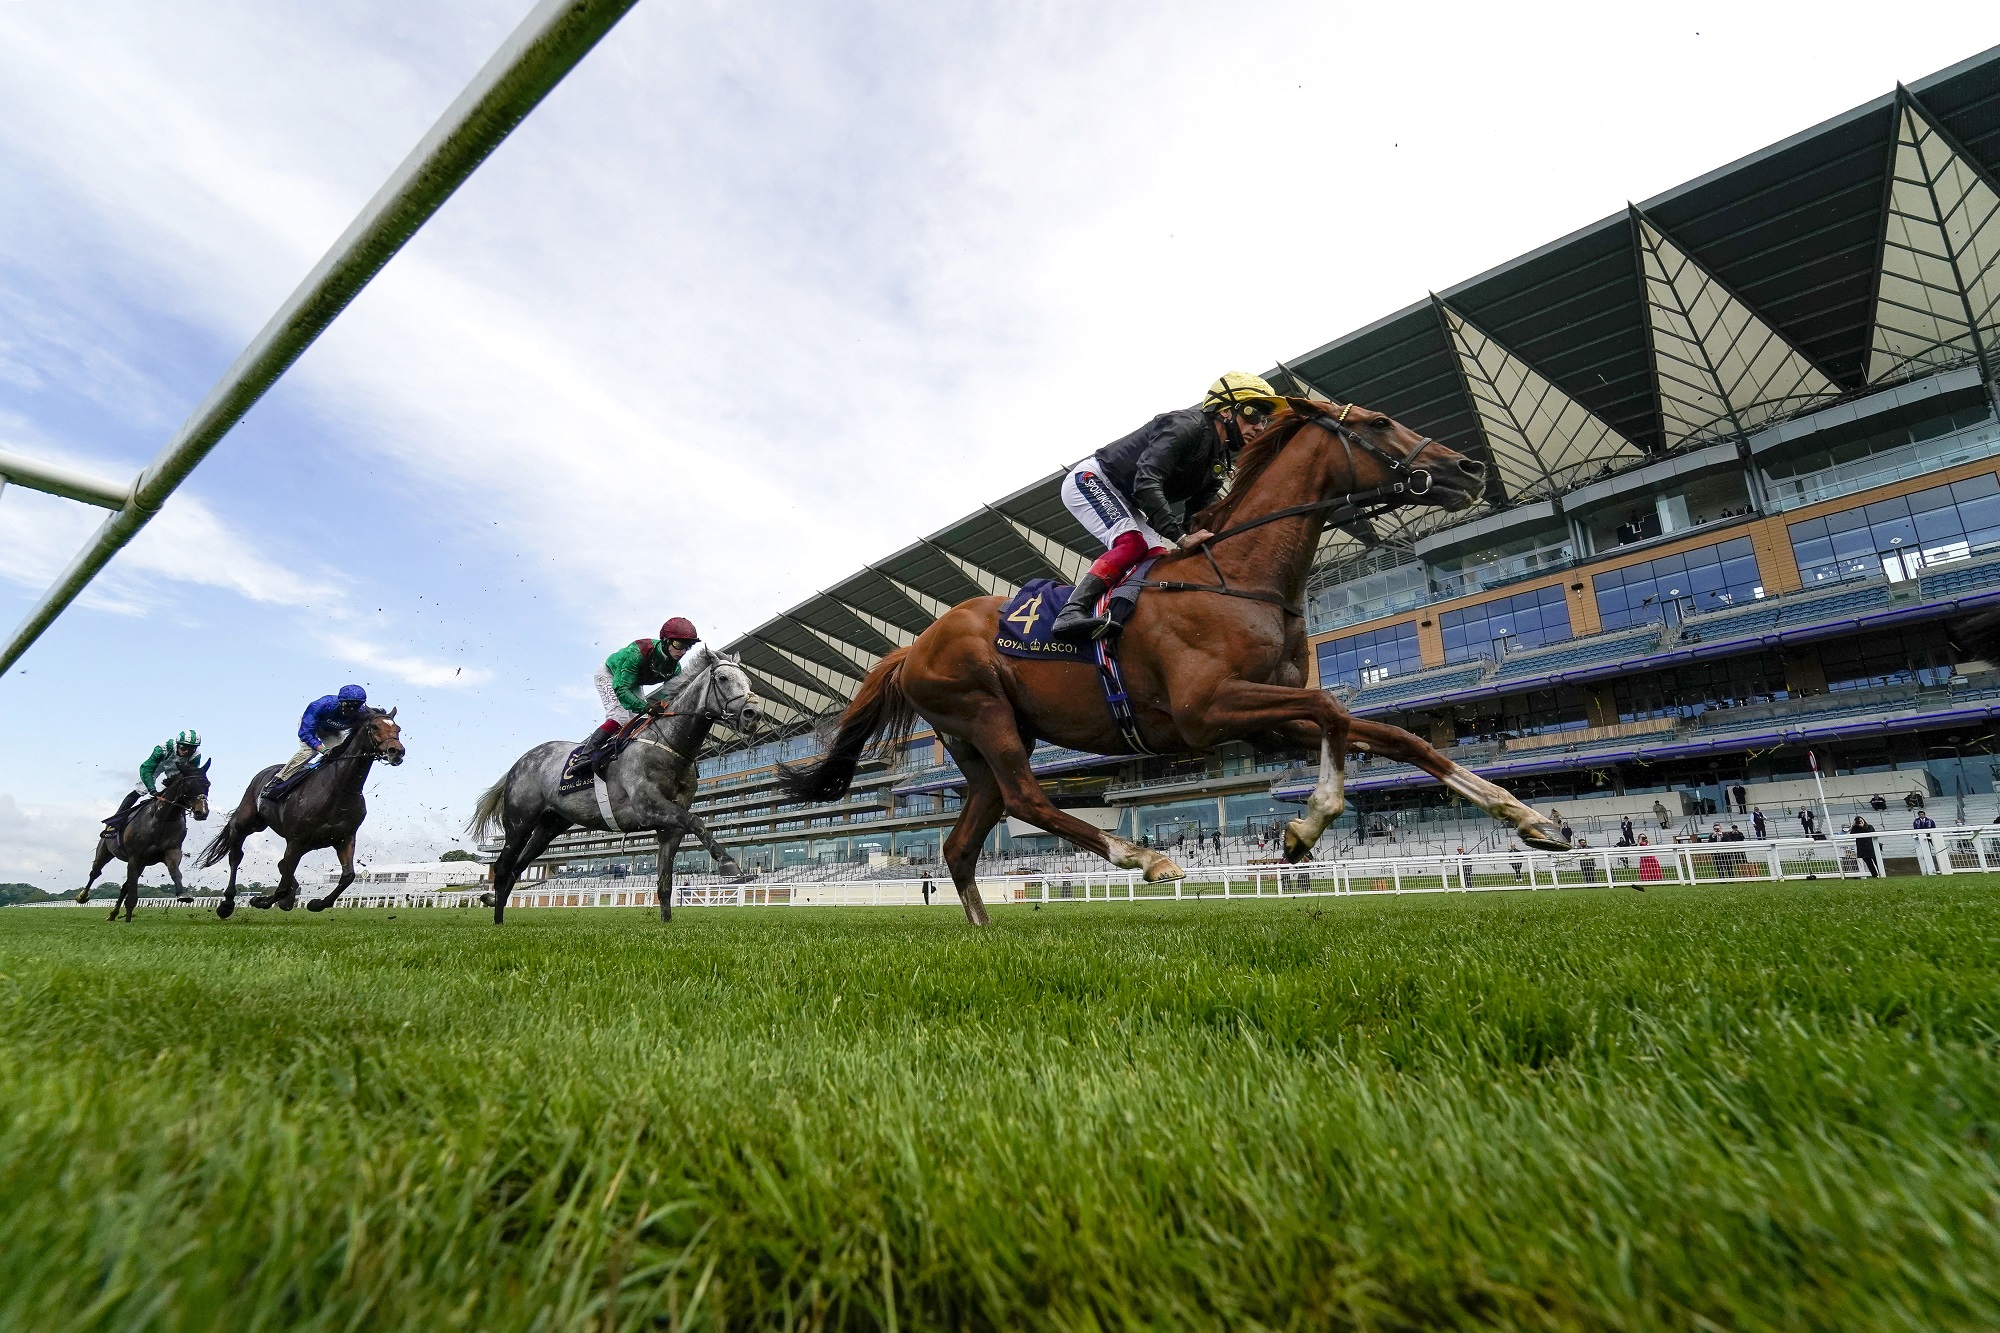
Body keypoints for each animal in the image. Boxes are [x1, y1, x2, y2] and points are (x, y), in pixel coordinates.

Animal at [78, 764, 213, 920]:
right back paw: (82, 897)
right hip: (105, 851)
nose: (202, 812)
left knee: (124, 886)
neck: (161, 819)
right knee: (95, 872)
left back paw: (113, 914)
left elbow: (175, 871)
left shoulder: (171, 851)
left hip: (141, 864)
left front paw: (183, 894)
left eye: (207, 784)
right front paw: (128, 920)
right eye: (188, 786)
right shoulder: (134, 857)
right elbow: (131, 896)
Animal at [197, 704, 404, 912]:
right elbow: (282, 885)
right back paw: (227, 903)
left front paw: (317, 903)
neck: (340, 787)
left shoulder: (344, 838)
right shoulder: (296, 840)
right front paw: (261, 900)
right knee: (236, 855)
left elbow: (348, 876)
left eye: (398, 729)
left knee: (282, 866)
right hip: (246, 822)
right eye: (375, 727)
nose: (397, 751)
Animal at [780, 402, 1576, 924]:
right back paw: (1147, 859)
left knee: (960, 841)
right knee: (1028, 799)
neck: (1239, 575)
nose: (1467, 467)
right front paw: (1306, 826)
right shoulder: (1208, 709)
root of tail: (913, 643)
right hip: (984, 713)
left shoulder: (1261, 716)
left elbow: (1387, 734)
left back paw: (986, 933)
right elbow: (1333, 712)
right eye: (1379, 423)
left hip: (976, 743)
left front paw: (1534, 819)